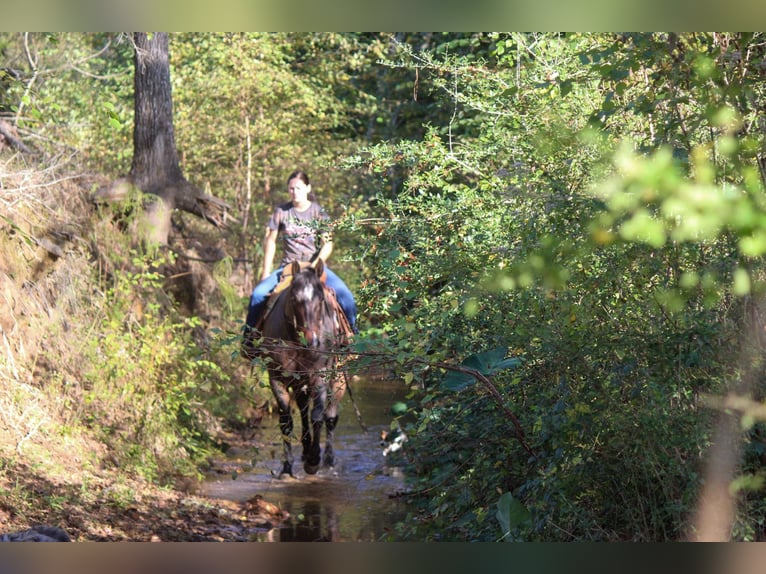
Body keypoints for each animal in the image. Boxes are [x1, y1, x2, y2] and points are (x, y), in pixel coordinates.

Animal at [260, 258, 346, 480]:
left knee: (330, 417)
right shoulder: (277, 378)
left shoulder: (321, 376)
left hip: (339, 379)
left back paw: (328, 460)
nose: (312, 341)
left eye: (320, 300)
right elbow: (286, 421)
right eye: (293, 298)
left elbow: (317, 416)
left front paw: (313, 461)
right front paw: (287, 467)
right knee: (303, 410)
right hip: (300, 383)